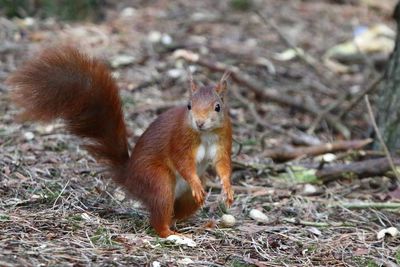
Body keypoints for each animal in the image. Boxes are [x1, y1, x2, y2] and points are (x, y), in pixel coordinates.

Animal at [7, 46, 234, 239]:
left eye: (217, 107)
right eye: (189, 106)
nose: (199, 122)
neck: (205, 135)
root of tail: (129, 177)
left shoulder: (223, 141)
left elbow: (222, 165)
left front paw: (228, 189)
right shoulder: (179, 139)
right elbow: (183, 162)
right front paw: (197, 182)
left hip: (184, 197)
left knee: (175, 213)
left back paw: (198, 224)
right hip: (157, 181)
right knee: (159, 218)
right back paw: (172, 234)